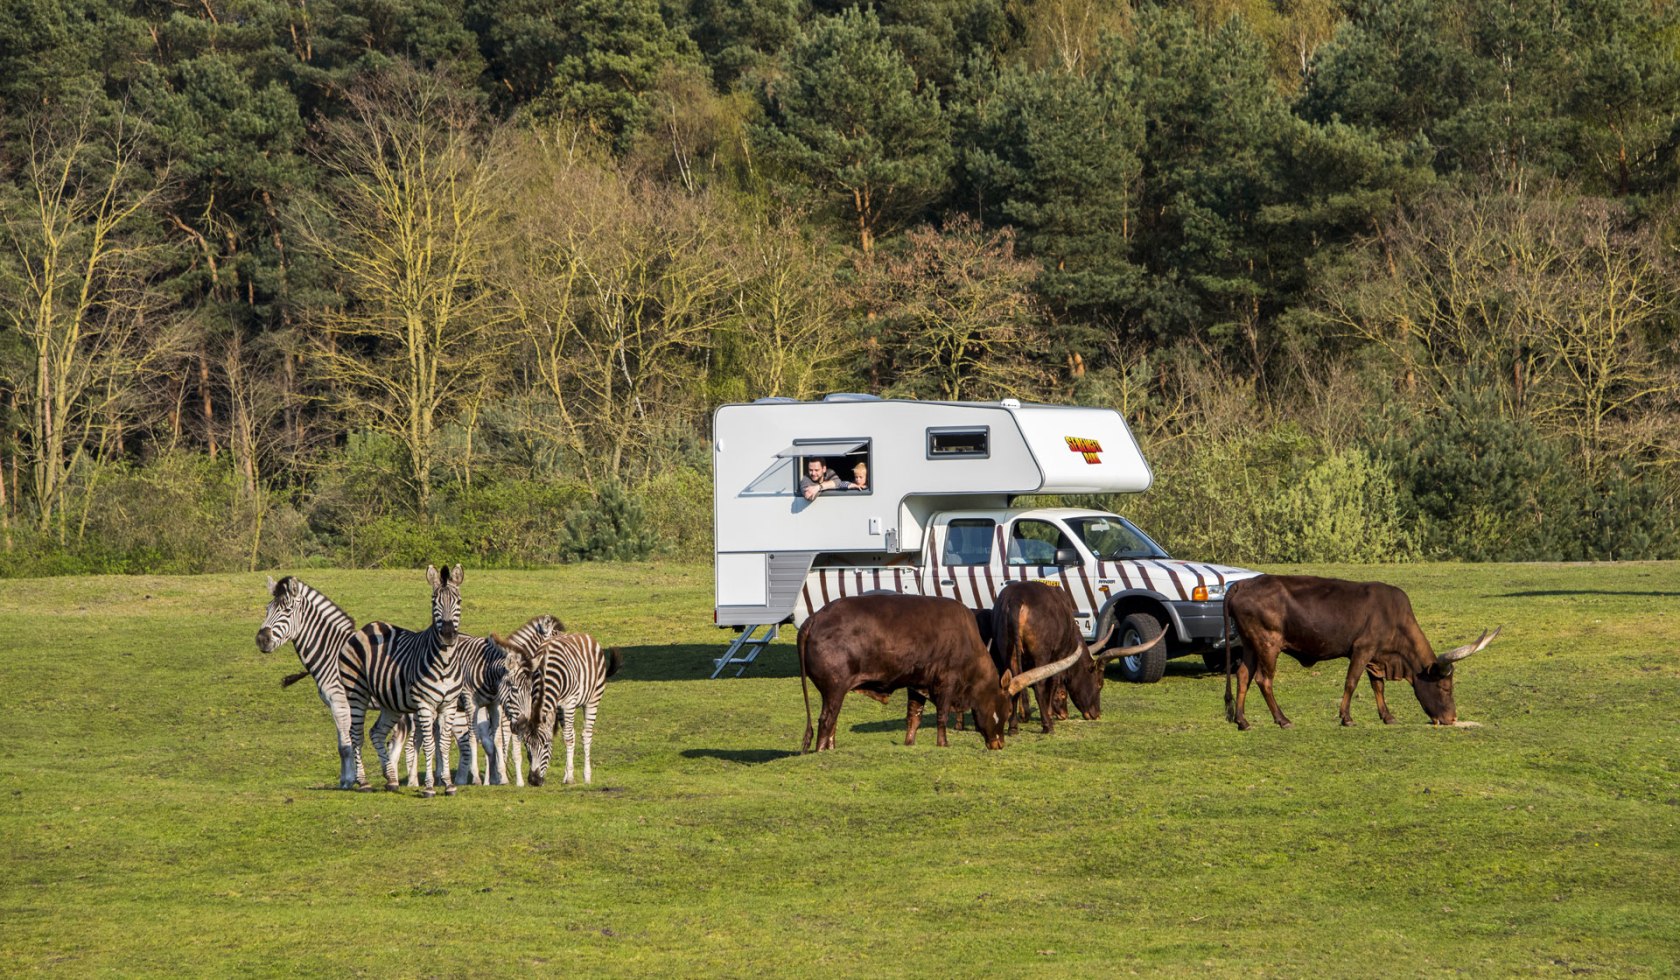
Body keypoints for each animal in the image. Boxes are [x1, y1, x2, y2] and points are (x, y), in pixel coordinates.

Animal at [337, 568, 467, 796]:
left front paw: (449, 785)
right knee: (356, 734)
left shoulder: (449, 705)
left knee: (376, 732)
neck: (445, 661)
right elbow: (429, 744)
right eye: (434, 602)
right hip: (356, 692)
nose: (448, 635)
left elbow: (443, 744)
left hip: (391, 703)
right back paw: (363, 782)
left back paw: (391, 779)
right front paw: (429, 787)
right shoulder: (424, 705)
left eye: (458, 601)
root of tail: (367, 628)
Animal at [517, 632, 624, 786]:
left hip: (592, 699)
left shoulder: (568, 703)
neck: (545, 673)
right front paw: (568, 774)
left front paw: (570, 779)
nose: (534, 780)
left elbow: (568, 738)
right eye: (526, 746)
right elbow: (567, 736)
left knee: (586, 734)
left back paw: (586, 776)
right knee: (572, 732)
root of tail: (585, 635)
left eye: (546, 745)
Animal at [1216, 574, 1505, 729]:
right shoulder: (1362, 649)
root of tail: (1243, 583)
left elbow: (1378, 685)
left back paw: (1242, 721)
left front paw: (1387, 716)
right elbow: (1351, 682)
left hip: (1251, 645)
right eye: (1445, 687)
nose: (1451, 718)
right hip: (1268, 644)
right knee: (1264, 679)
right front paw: (1346, 717)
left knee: (1243, 676)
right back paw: (1282, 719)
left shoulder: (1376, 657)